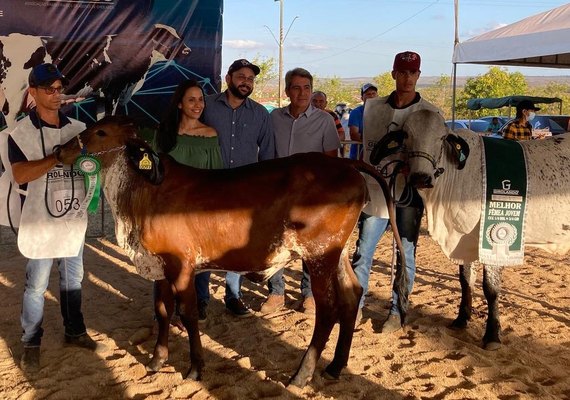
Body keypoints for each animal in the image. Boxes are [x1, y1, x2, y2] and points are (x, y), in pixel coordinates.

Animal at [55, 115, 406, 388]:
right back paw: (335, 366)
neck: (142, 193)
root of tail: (344, 162)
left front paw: (195, 368)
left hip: (319, 254)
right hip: (338, 253)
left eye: (101, 132)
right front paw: (157, 359)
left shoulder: (181, 265)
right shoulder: (158, 266)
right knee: (352, 294)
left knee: (329, 308)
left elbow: (188, 314)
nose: (61, 148)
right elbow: (162, 310)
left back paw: (301, 375)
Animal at [370, 109, 564, 350]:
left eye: (442, 137)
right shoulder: (464, 241)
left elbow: (490, 288)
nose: (420, 178)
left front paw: (492, 335)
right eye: (406, 135)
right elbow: (465, 280)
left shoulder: (492, 241)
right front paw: (462, 318)